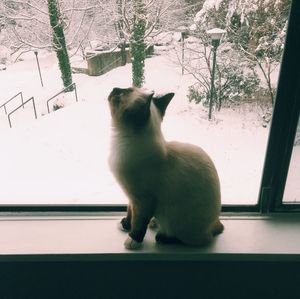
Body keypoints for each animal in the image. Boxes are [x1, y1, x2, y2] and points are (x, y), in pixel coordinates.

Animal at [107, 86, 223, 251]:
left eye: (121, 94)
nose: (114, 88)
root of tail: (216, 222)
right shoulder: (131, 197)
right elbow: (130, 212)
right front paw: (125, 224)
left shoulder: (143, 200)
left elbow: (139, 222)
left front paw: (133, 239)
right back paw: (154, 223)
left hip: (177, 220)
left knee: (199, 239)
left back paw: (162, 237)